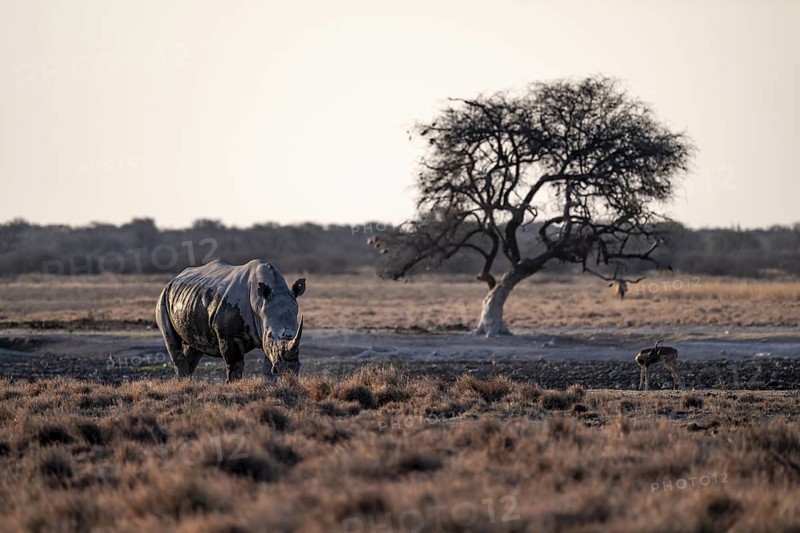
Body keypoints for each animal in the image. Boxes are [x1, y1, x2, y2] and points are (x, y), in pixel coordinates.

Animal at [155, 259, 306, 382]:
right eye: (270, 335)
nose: (289, 369)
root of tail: (174, 279)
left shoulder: (266, 332)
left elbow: (268, 365)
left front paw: (271, 385)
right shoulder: (229, 335)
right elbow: (235, 366)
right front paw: (233, 385)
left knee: (193, 346)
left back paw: (186, 382)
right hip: (163, 297)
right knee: (172, 341)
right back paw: (184, 382)